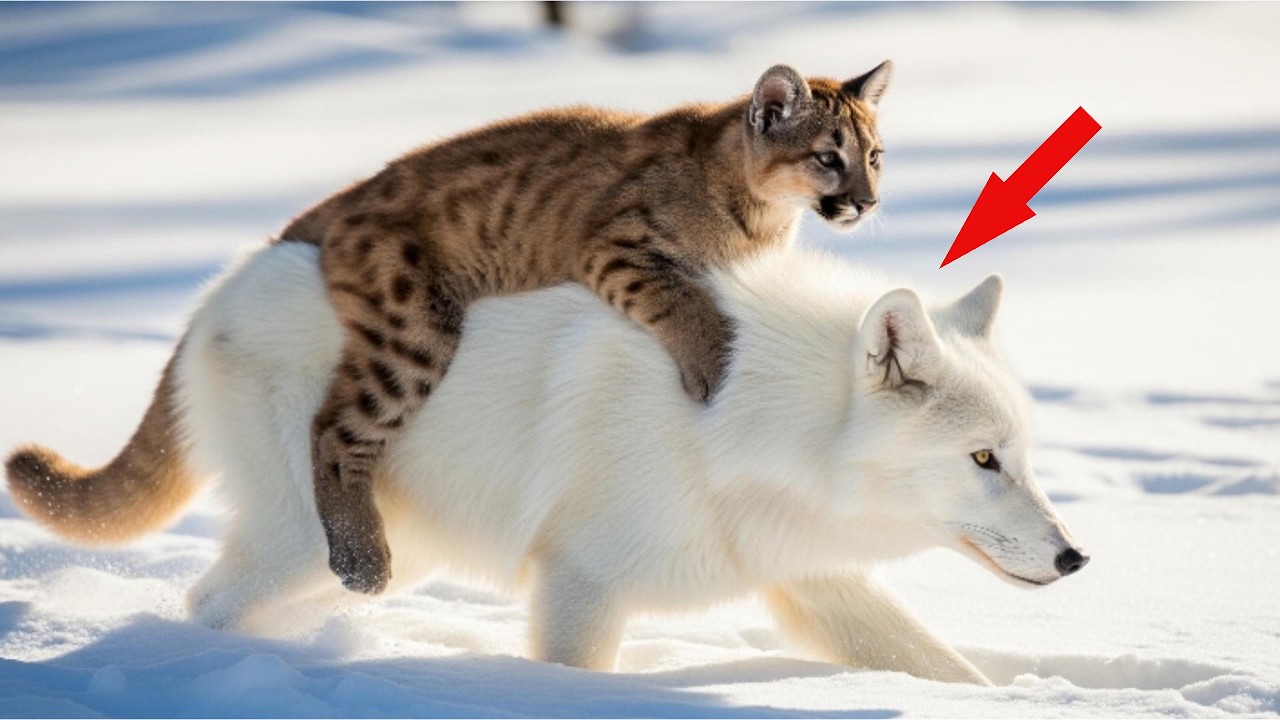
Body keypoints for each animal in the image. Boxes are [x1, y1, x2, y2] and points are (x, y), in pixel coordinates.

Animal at [6, 242, 1087, 685]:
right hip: (306, 553)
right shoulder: (581, 585)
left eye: (1023, 457)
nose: (1075, 558)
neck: (744, 424)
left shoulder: (811, 581)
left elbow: (948, 673)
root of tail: (215, 293)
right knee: (202, 606)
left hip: (374, 564)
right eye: (981, 458)